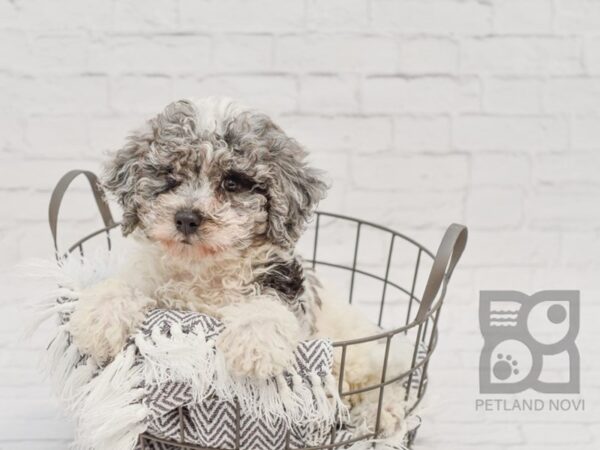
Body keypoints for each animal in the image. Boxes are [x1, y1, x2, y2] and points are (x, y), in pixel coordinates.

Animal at [69, 97, 408, 436]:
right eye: (171, 176)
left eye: (231, 183)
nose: (186, 218)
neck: (203, 268)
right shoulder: (151, 276)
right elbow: (125, 285)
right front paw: (99, 317)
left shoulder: (280, 279)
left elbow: (268, 306)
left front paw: (255, 343)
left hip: (360, 354)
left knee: (382, 382)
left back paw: (382, 413)